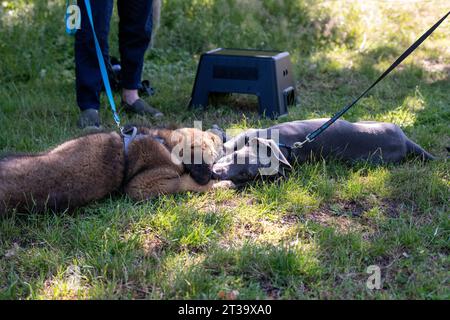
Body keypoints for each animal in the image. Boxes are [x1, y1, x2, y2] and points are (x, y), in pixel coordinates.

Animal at [0, 125, 230, 215]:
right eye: (211, 139)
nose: (221, 130)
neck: (165, 143)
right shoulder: (142, 186)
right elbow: (186, 182)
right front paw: (221, 184)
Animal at [213, 119, 434, 185]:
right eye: (236, 159)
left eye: (246, 175)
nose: (216, 174)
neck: (284, 147)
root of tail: (406, 142)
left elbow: (224, 144)